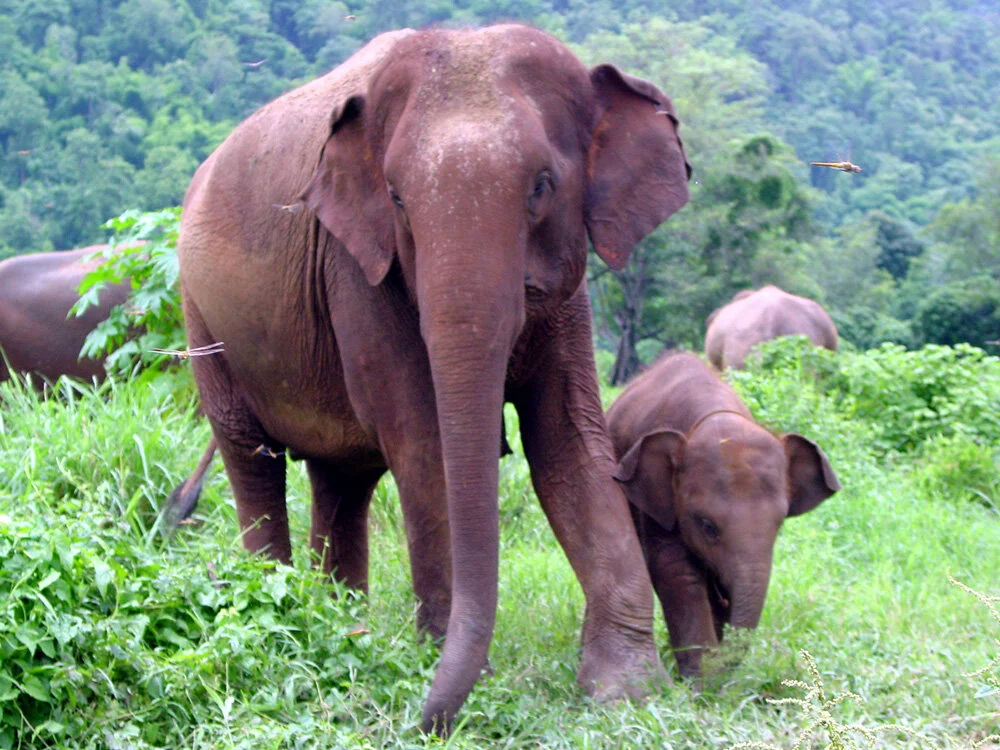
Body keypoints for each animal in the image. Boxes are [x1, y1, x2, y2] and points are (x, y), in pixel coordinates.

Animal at [175, 25, 691, 733]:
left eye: (542, 186)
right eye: (397, 198)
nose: (421, 720)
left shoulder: (569, 289)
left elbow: (568, 443)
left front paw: (628, 692)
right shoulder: (359, 268)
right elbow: (424, 442)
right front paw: (460, 670)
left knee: (340, 479)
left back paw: (339, 623)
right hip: (203, 318)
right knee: (251, 458)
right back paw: (279, 610)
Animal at [607, 352, 839, 681]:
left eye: (779, 526)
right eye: (707, 526)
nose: (725, 666)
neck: (712, 414)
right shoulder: (656, 499)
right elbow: (675, 569)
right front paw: (701, 680)